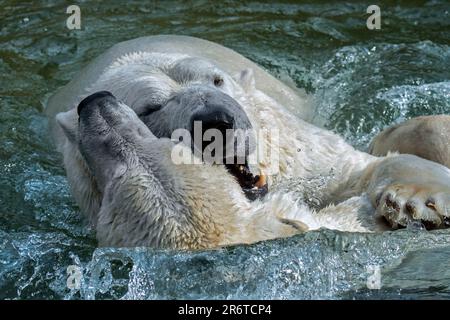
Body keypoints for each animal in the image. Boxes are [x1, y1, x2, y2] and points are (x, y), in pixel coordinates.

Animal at [47, 35, 450, 250]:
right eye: (151, 107)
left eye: (216, 80)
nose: (218, 119)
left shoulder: (297, 157)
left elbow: (353, 171)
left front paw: (414, 199)